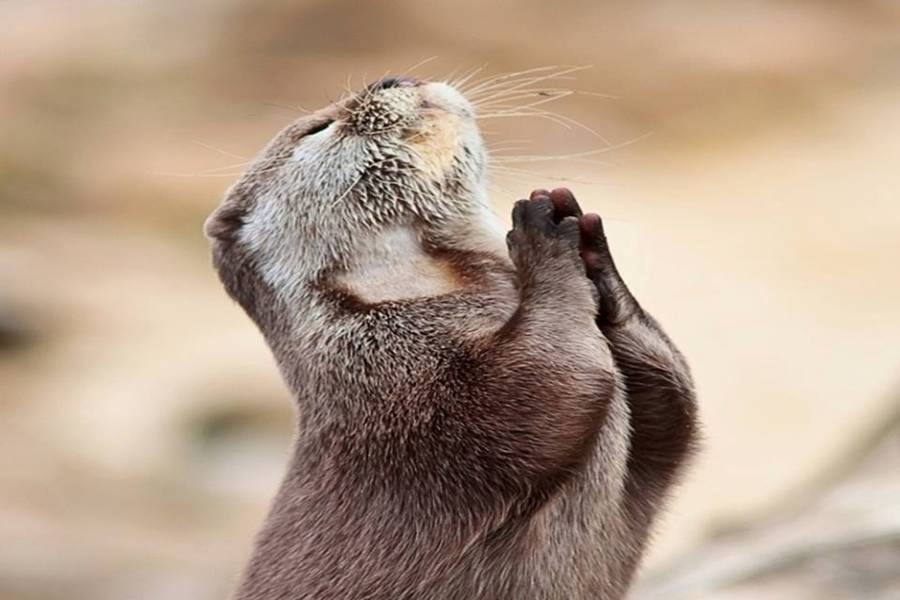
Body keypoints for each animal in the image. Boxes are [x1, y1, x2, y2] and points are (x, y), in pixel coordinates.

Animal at [205, 75, 698, 600]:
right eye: (318, 128)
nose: (389, 78)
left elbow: (674, 411)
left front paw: (592, 253)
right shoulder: (398, 388)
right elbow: (548, 382)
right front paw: (539, 238)